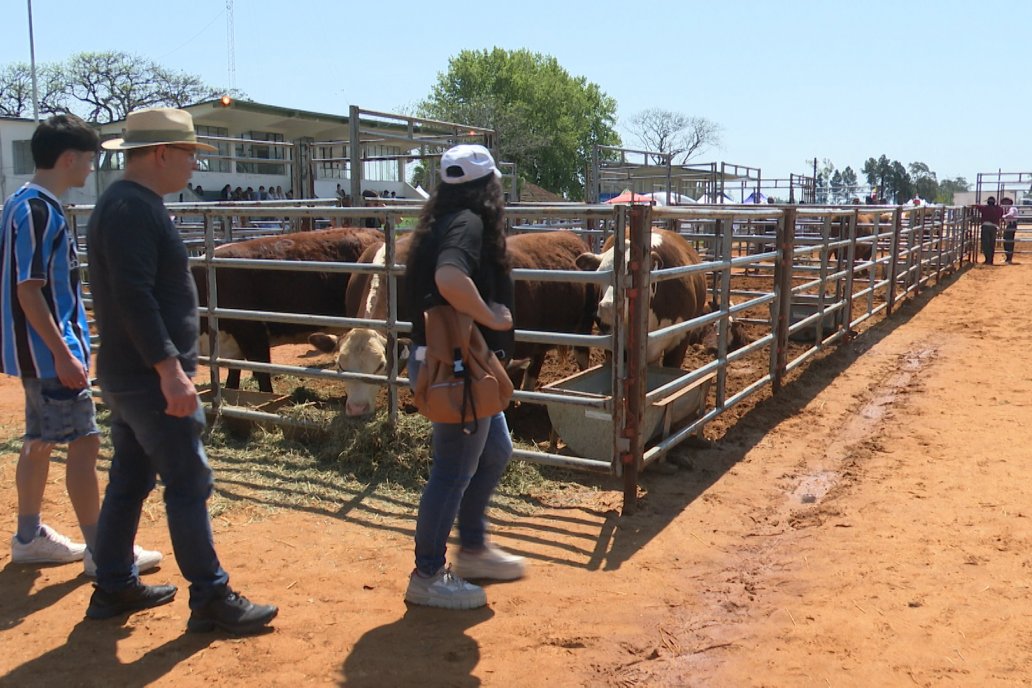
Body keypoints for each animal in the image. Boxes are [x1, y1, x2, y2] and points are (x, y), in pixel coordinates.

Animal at [307, 228, 598, 416]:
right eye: (340, 365)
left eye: (379, 365)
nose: (356, 409)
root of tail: (571, 236)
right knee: (536, 359)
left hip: (583, 328)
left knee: (582, 359)